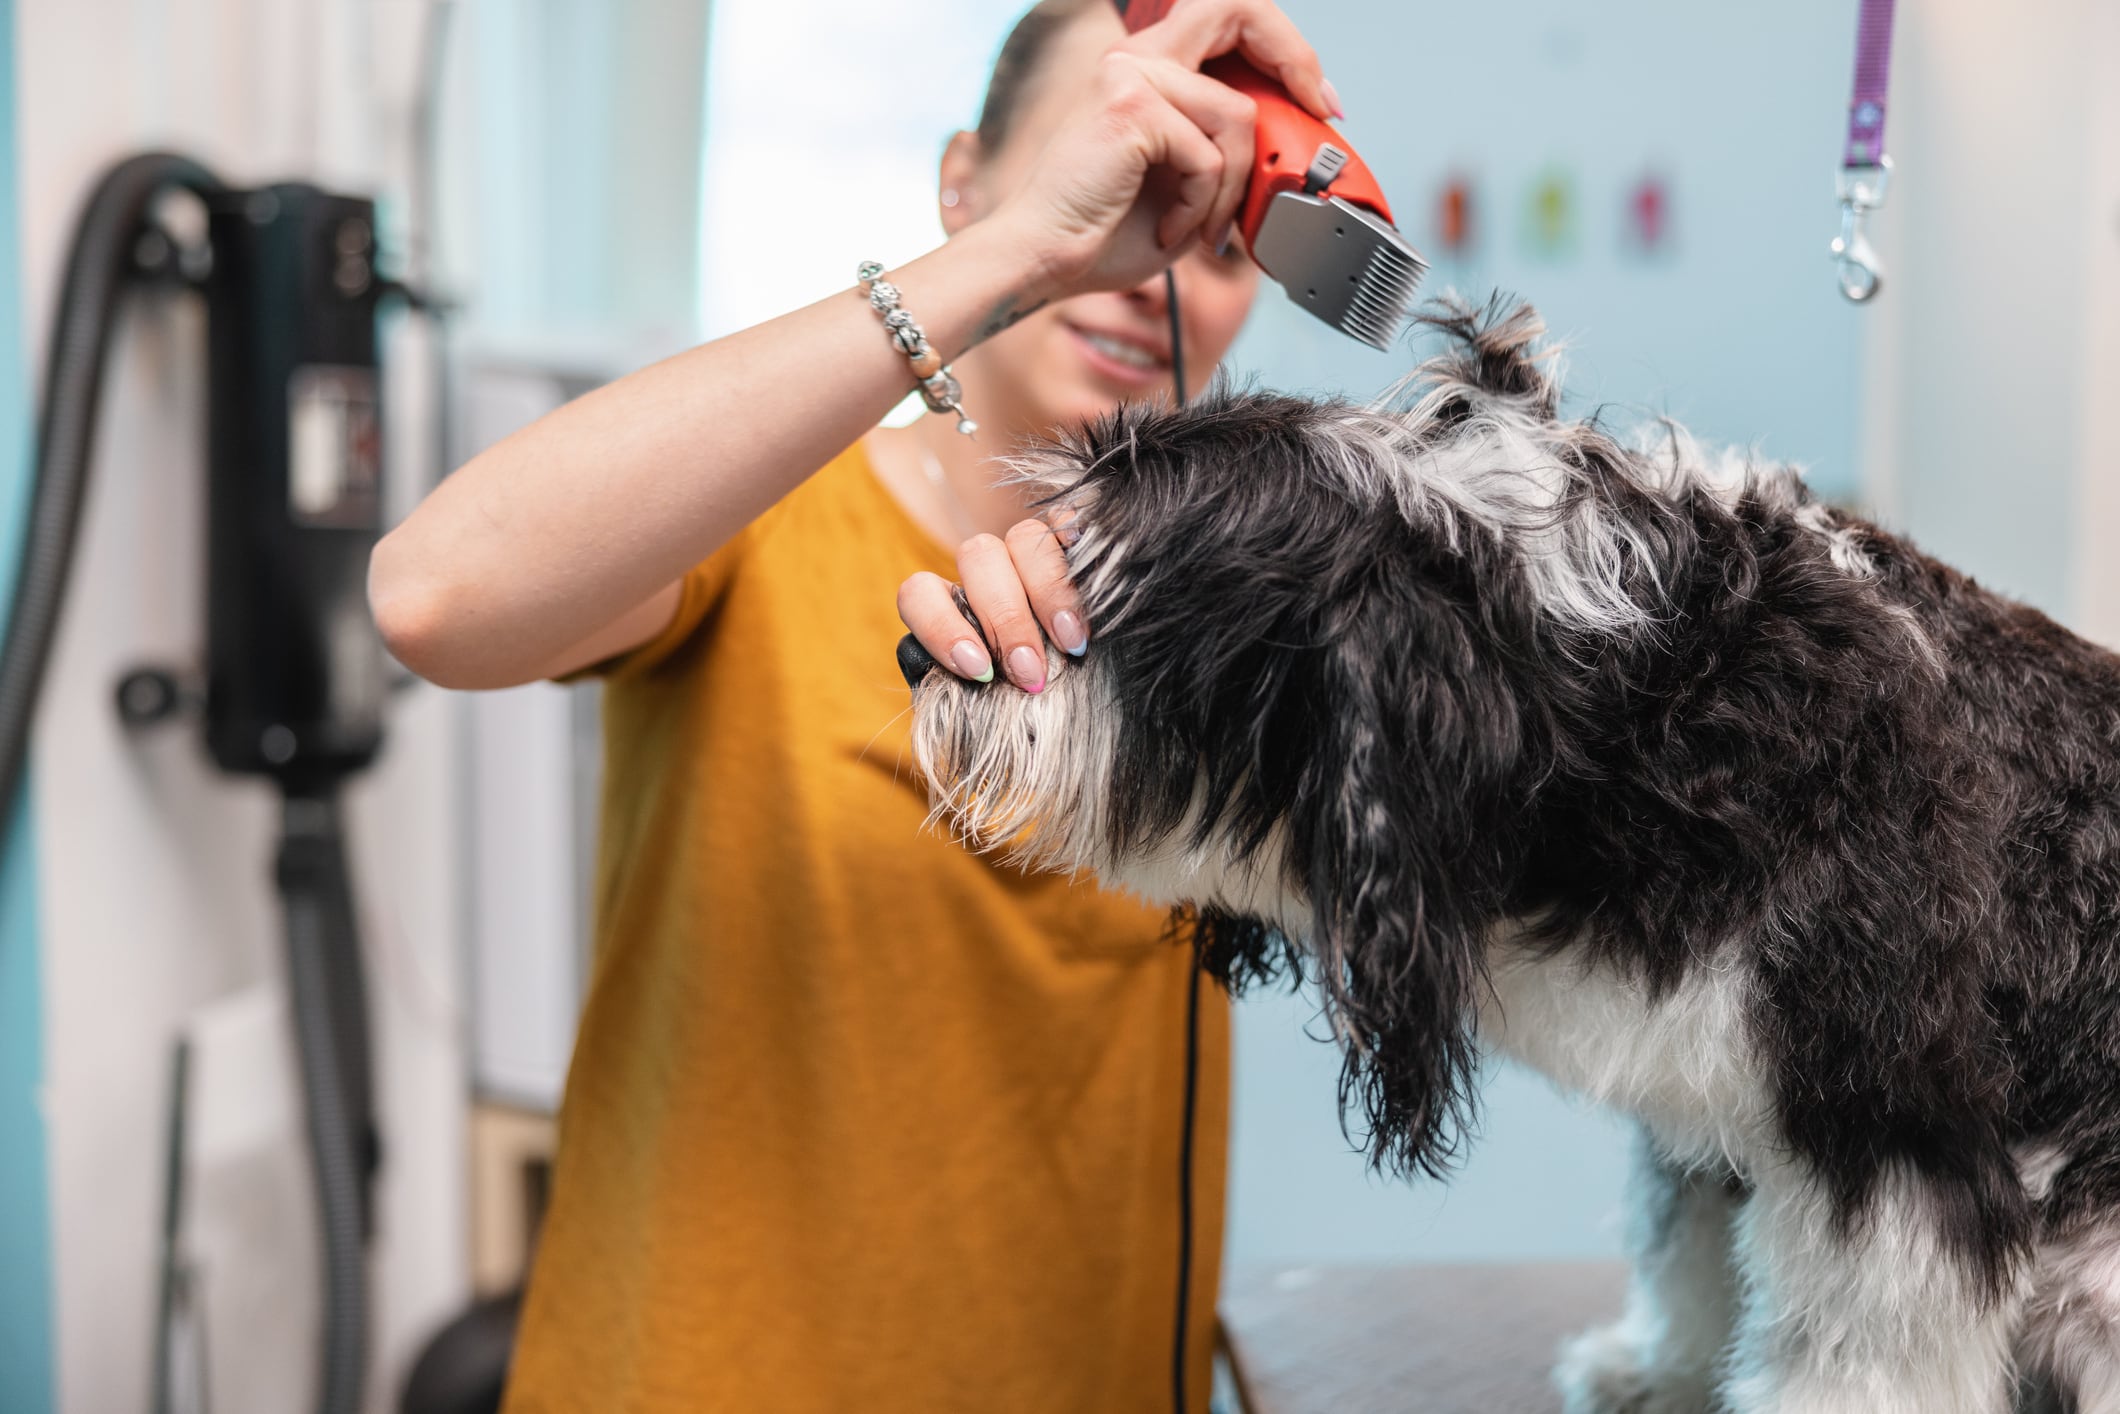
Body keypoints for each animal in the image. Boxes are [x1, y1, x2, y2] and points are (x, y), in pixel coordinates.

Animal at [907, 307, 2120, 1414]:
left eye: (1104, 582)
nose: (920, 649)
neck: (1630, 711)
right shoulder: (1719, 1108)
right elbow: (1686, 1249)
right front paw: (1656, 1371)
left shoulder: (1891, 1146)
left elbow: (1847, 1360)